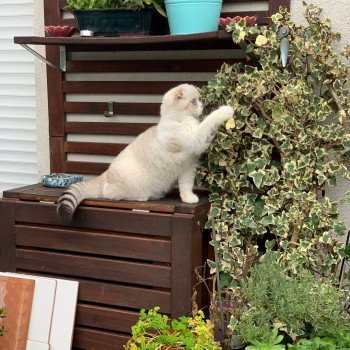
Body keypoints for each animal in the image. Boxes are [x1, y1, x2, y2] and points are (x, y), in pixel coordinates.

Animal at [56, 83, 232, 221]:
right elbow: (209, 120)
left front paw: (189, 199)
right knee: (110, 194)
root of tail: (104, 175)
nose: (202, 106)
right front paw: (226, 110)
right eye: (194, 101)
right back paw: (143, 197)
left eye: (199, 100)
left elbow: (186, 186)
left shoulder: (187, 168)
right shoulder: (195, 138)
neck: (178, 120)